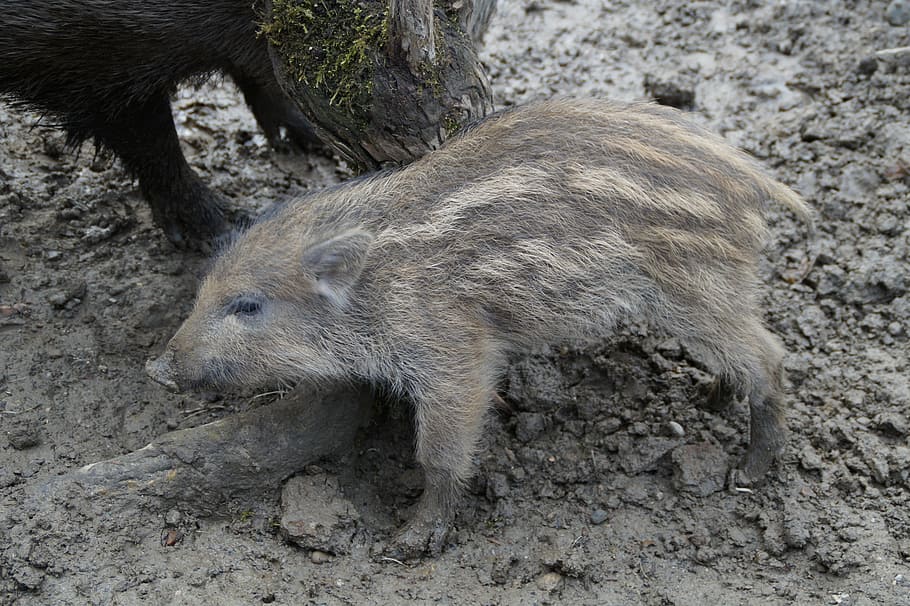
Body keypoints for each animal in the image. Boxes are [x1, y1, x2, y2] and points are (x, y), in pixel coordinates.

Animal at [146, 99, 812, 558]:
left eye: (248, 306)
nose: (157, 368)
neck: (376, 289)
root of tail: (756, 183)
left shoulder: (455, 351)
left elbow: (440, 453)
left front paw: (407, 543)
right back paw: (714, 400)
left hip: (694, 288)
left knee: (769, 355)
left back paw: (749, 471)